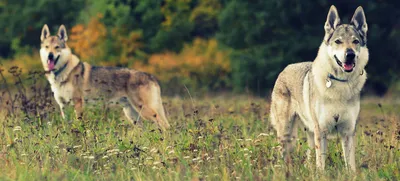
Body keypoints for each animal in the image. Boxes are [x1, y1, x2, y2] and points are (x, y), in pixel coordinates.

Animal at [40, 24, 170, 131]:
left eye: (57, 47)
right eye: (47, 47)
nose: (50, 56)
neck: (62, 73)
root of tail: (151, 76)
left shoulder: (78, 104)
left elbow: (79, 124)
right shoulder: (63, 106)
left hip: (145, 111)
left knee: (165, 126)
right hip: (132, 115)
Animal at [270, 5, 368, 171]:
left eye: (355, 41)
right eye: (338, 41)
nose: (350, 54)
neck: (341, 83)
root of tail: (285, 69)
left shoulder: (348, 132)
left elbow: (350, 166)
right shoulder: (321, 131)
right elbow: (321, 165)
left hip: (309, 132)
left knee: (309, 156)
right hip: (287, 133)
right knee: (283, 155)